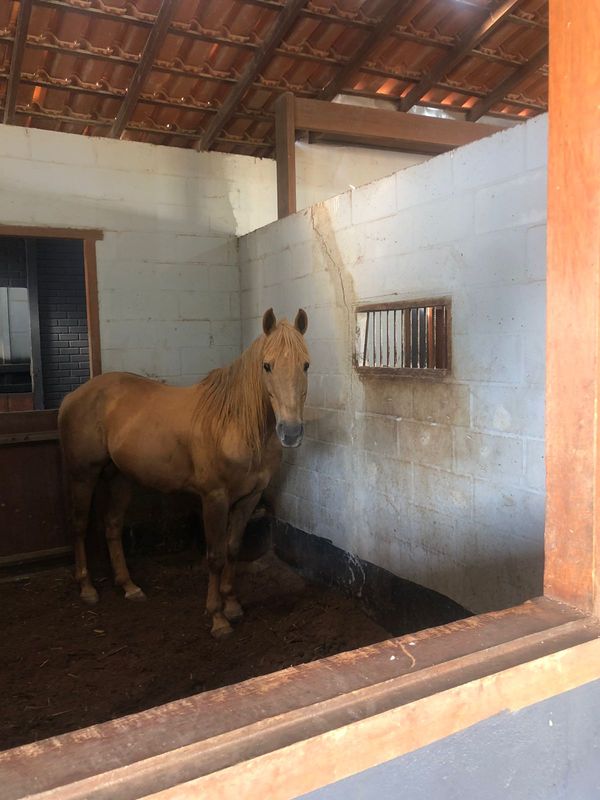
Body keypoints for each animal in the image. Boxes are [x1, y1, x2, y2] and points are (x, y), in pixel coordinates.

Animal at [58, 308, 310, 638]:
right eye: (266, 365)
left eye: (306, 365)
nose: (291, 432)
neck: (236, 424)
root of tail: (73, 396)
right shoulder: (214, 498)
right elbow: (215, 556)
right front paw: (217, 618)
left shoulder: (249, 498)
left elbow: (233, 549)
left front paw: (233, 605)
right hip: (82, 475)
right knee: (79, 525)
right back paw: (87, 588)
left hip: (121, 477)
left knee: (112, 526)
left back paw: (129, 586)